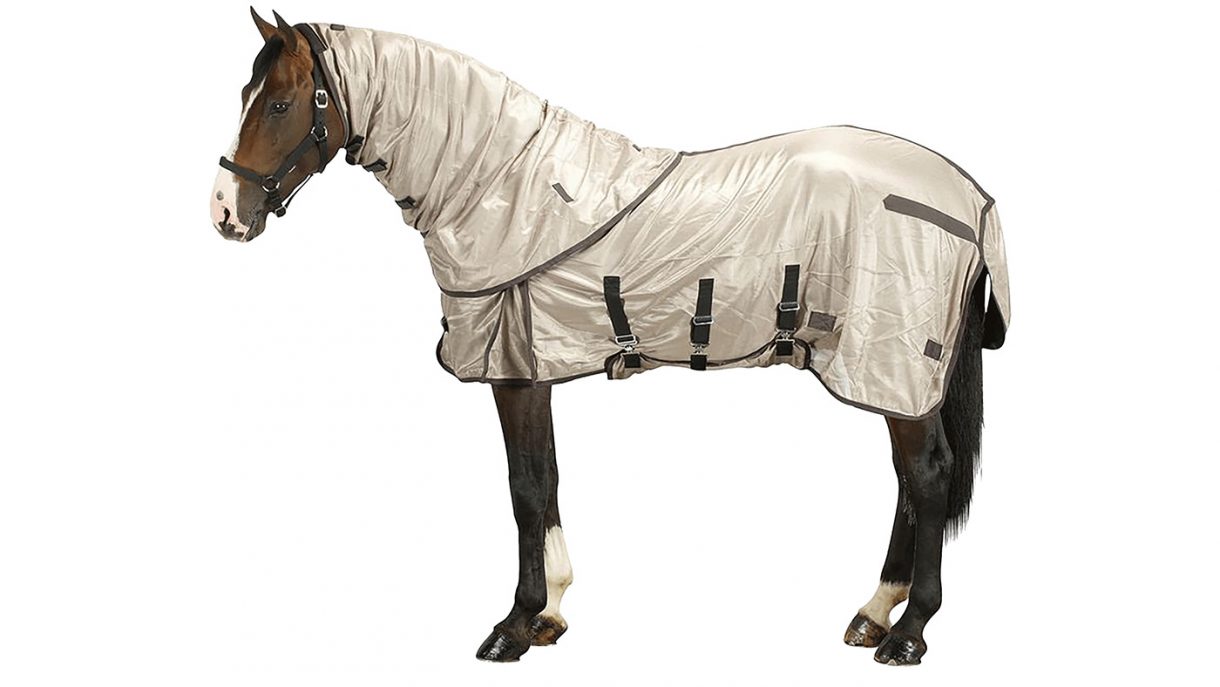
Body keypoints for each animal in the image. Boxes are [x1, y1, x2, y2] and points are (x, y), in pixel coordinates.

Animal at [210, 10, 1010, 666]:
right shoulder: (532, 363)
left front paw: (514, 624)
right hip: (894, 376)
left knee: (928, 476)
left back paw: (909, 634)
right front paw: (551, 614)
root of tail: (972, 194)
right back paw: (876, 613)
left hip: (890, 364)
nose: (224, 211)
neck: (501, 185)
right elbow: (547, 477)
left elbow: (525, 488)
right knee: (911, 481)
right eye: (248, 95)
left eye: (279, 103)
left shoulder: (513, 371)